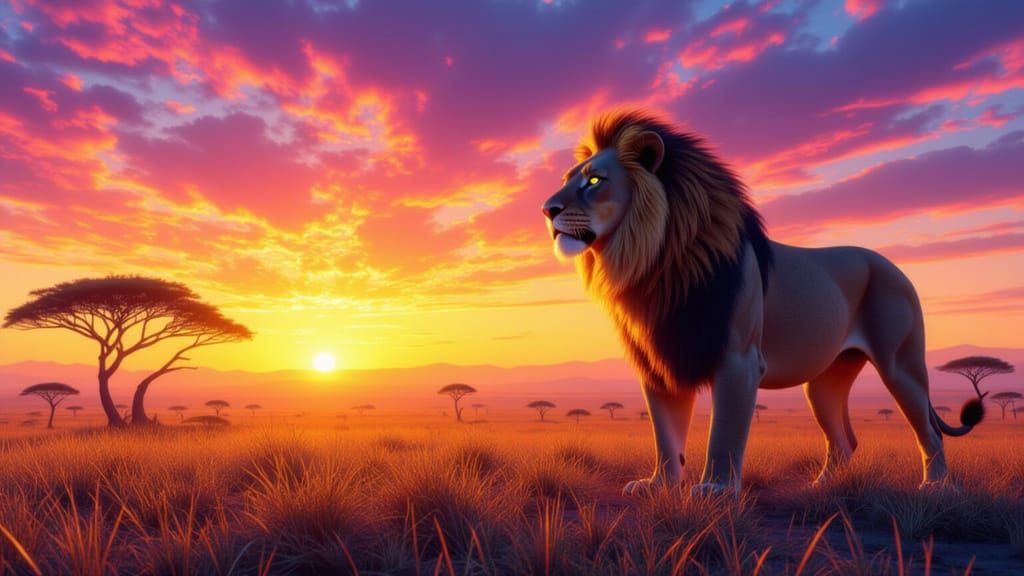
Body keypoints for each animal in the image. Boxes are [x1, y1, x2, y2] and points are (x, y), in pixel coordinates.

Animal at [541, 109, 984, 495]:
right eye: (567, 179)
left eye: (594, 180)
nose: (547, 210)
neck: (655, 264)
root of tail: (895, 267)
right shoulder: (661, 359)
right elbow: (666, 435)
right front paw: (658, 486)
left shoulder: (738, 360)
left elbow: (724, 432)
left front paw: (716, 489)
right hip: (824, 381)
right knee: (844, 441)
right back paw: (821, 489)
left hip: (900, 364)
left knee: (929, 430)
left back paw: (936, 487)